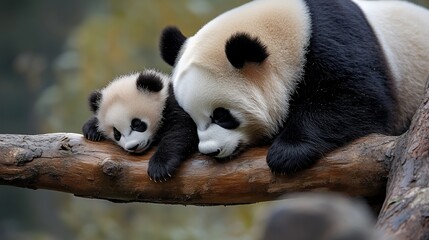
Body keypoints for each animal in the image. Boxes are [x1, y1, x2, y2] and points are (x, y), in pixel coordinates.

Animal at [160, 0, 428, 175]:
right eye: (193, 117)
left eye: (221, 115)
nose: (210, 150)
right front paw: (165, 160)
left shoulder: (336, 40)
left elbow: (358, 98)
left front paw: (287, 153)